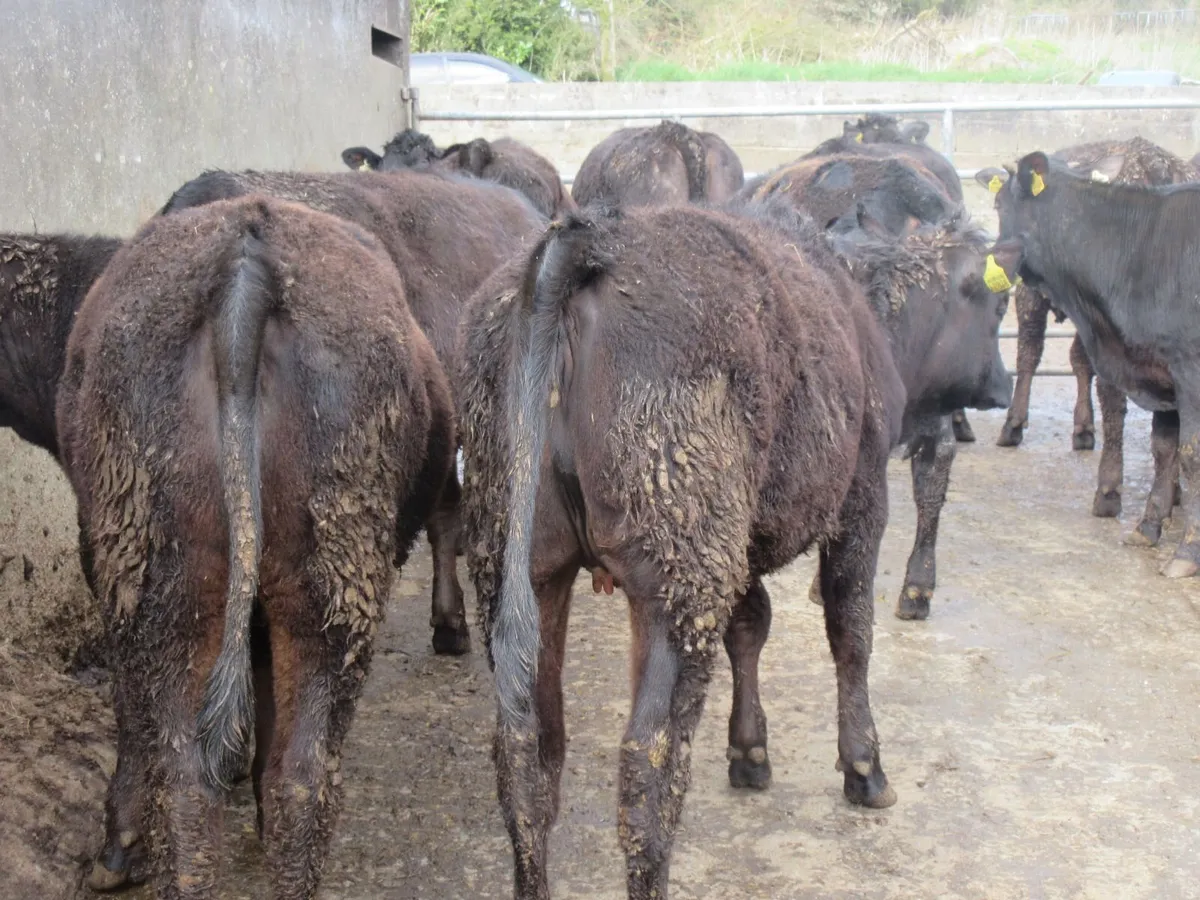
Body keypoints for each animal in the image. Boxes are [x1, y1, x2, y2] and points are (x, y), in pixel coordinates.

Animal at [459, 204, 907, 899]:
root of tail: (586, 237)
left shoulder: (741, 541)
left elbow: (751, 624)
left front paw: (749, 752)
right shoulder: (863, 491)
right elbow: (849, 627)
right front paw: (864, 767)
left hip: (518, 560)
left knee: (527, 760)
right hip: (677, 577)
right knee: (648, 766)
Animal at [981, 152, 1200, 576]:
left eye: (999, 205)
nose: (991, 261)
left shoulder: (1191, 375)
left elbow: (1190, 456)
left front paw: (1187, 553)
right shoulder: (1161, 371)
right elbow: (1164, 449)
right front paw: (1148, 526)